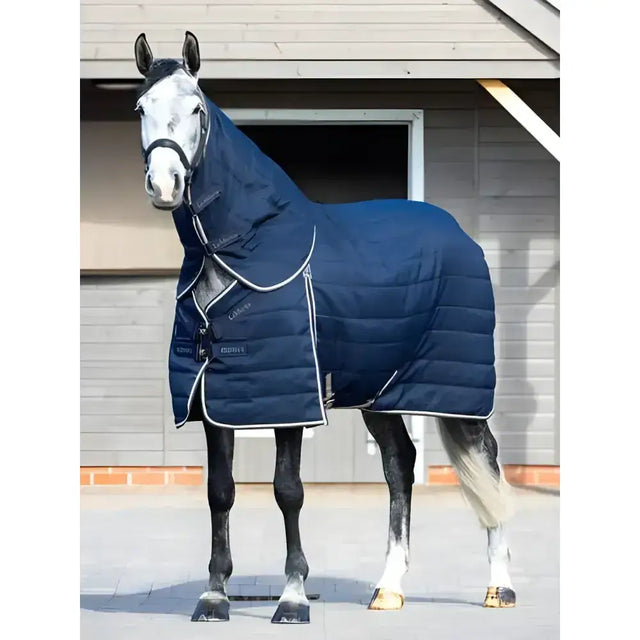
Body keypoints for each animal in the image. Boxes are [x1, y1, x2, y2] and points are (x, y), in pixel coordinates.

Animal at [133, 31, 516, 624]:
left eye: (196, 108)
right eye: (141, 107)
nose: (165, 184)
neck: (243, 253)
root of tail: (462, 236)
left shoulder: (287, 398)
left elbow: (288, 490)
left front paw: (292, 597)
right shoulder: (216, 399)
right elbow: (220, 491)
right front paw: (214, 595)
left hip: (457, 393)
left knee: (489, 464)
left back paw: (499, 586)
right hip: (381, 392)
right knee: (400, 467)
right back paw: (389, 587)